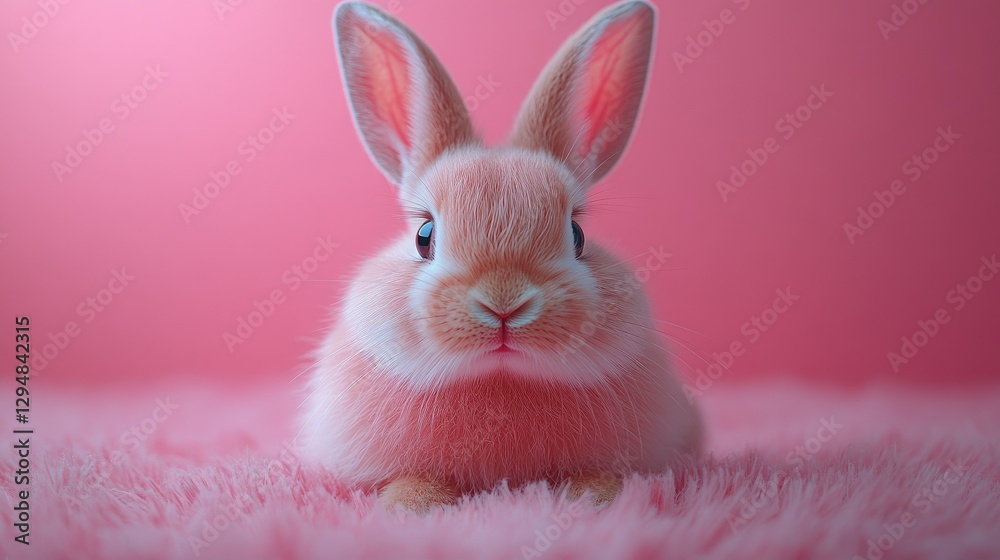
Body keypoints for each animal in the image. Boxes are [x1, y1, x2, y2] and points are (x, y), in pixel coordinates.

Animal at [300, 0, 703, 513]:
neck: (501, 381)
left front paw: (596, 497)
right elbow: (412, 478)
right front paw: (414, 503)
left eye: (578, 235)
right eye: (424, 236)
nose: (504, 303)